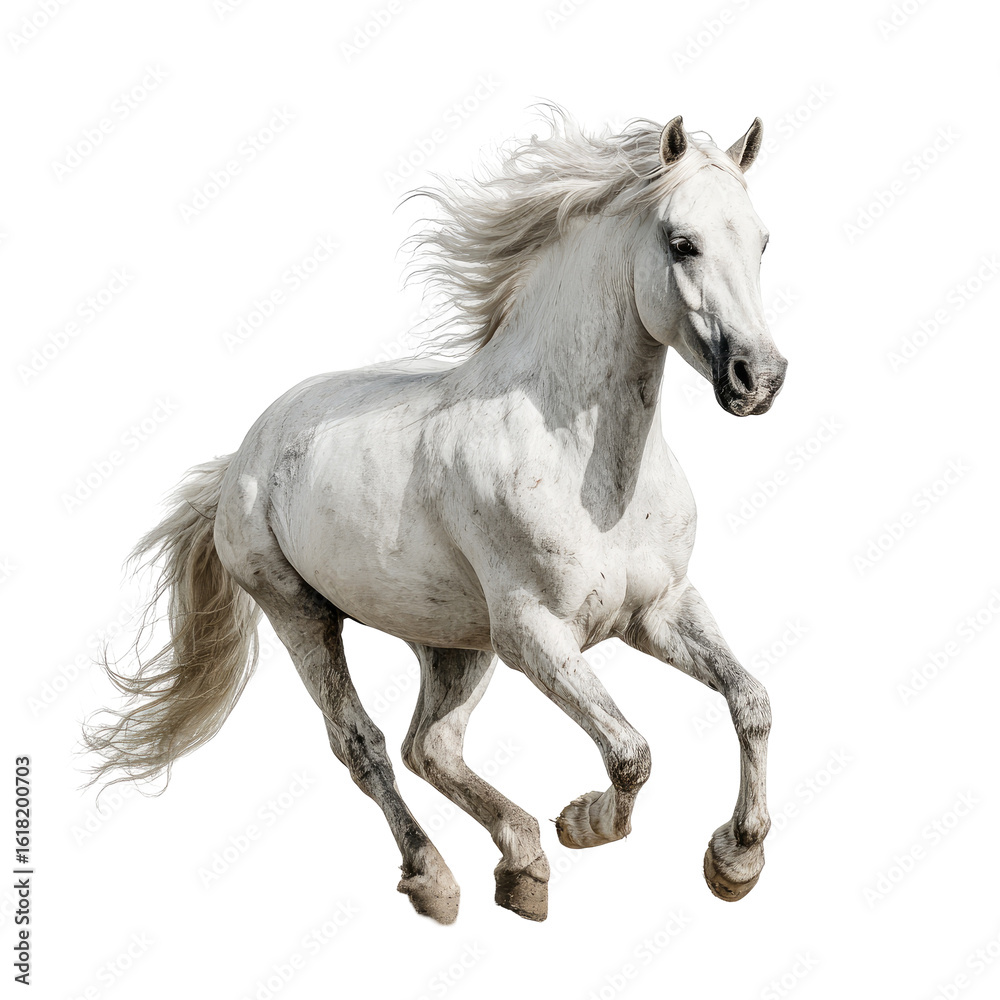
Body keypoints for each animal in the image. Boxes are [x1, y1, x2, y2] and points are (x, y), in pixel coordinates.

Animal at [84, 107, 787, 924]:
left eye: (761, 239)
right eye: (682, 242)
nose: (760, 378)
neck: (590, 471)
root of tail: (242, 457)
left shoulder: (660, 609)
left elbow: (750, 701)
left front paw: (735, 861)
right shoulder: (535, 635)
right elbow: (630, 752)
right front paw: (585, 822)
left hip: (454, 641)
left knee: (433, 747)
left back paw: (522, 867)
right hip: (300, 612)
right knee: (364, 745)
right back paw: (436, 879)